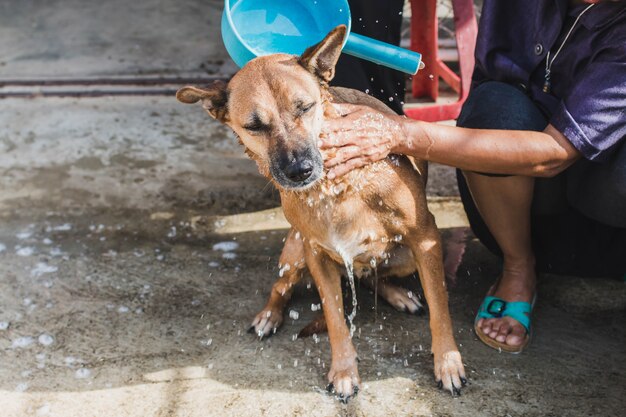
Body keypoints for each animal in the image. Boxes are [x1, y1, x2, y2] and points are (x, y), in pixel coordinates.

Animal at [176, 25, 464, 396]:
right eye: (254, 126)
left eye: (305, 107)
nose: (300, 170)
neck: (336, 187)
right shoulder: (317, 253)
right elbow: (335, 317)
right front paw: (343, 371)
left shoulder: (426, 235)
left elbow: (439, 307)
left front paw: (448, 362)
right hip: (295, 252)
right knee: (282, 287)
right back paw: (269, 316)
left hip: (407, 258)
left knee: (374, 277)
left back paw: (400, 295)